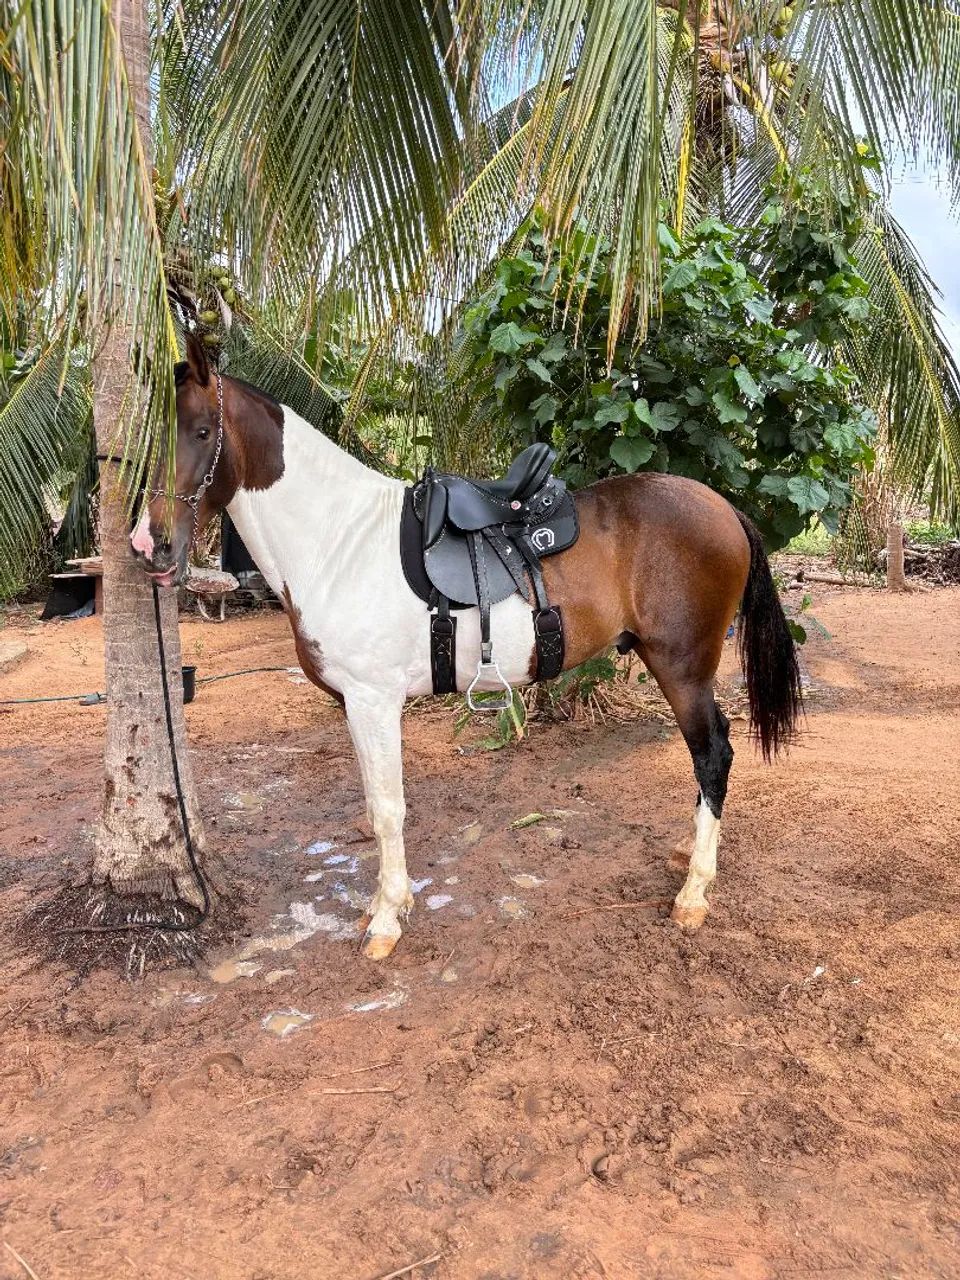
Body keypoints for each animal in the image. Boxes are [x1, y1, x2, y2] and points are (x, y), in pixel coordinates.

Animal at [131, 334, 801, 959]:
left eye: (200, 430)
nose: (149, 546)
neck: (340, 540)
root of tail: (724, 509)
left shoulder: (375, 701)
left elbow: (388, 809)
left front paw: (386, 921)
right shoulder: (355, 704)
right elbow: (374, 803)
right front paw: (387, 902)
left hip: (682, 668)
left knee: (713, 755)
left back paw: (693, 893)